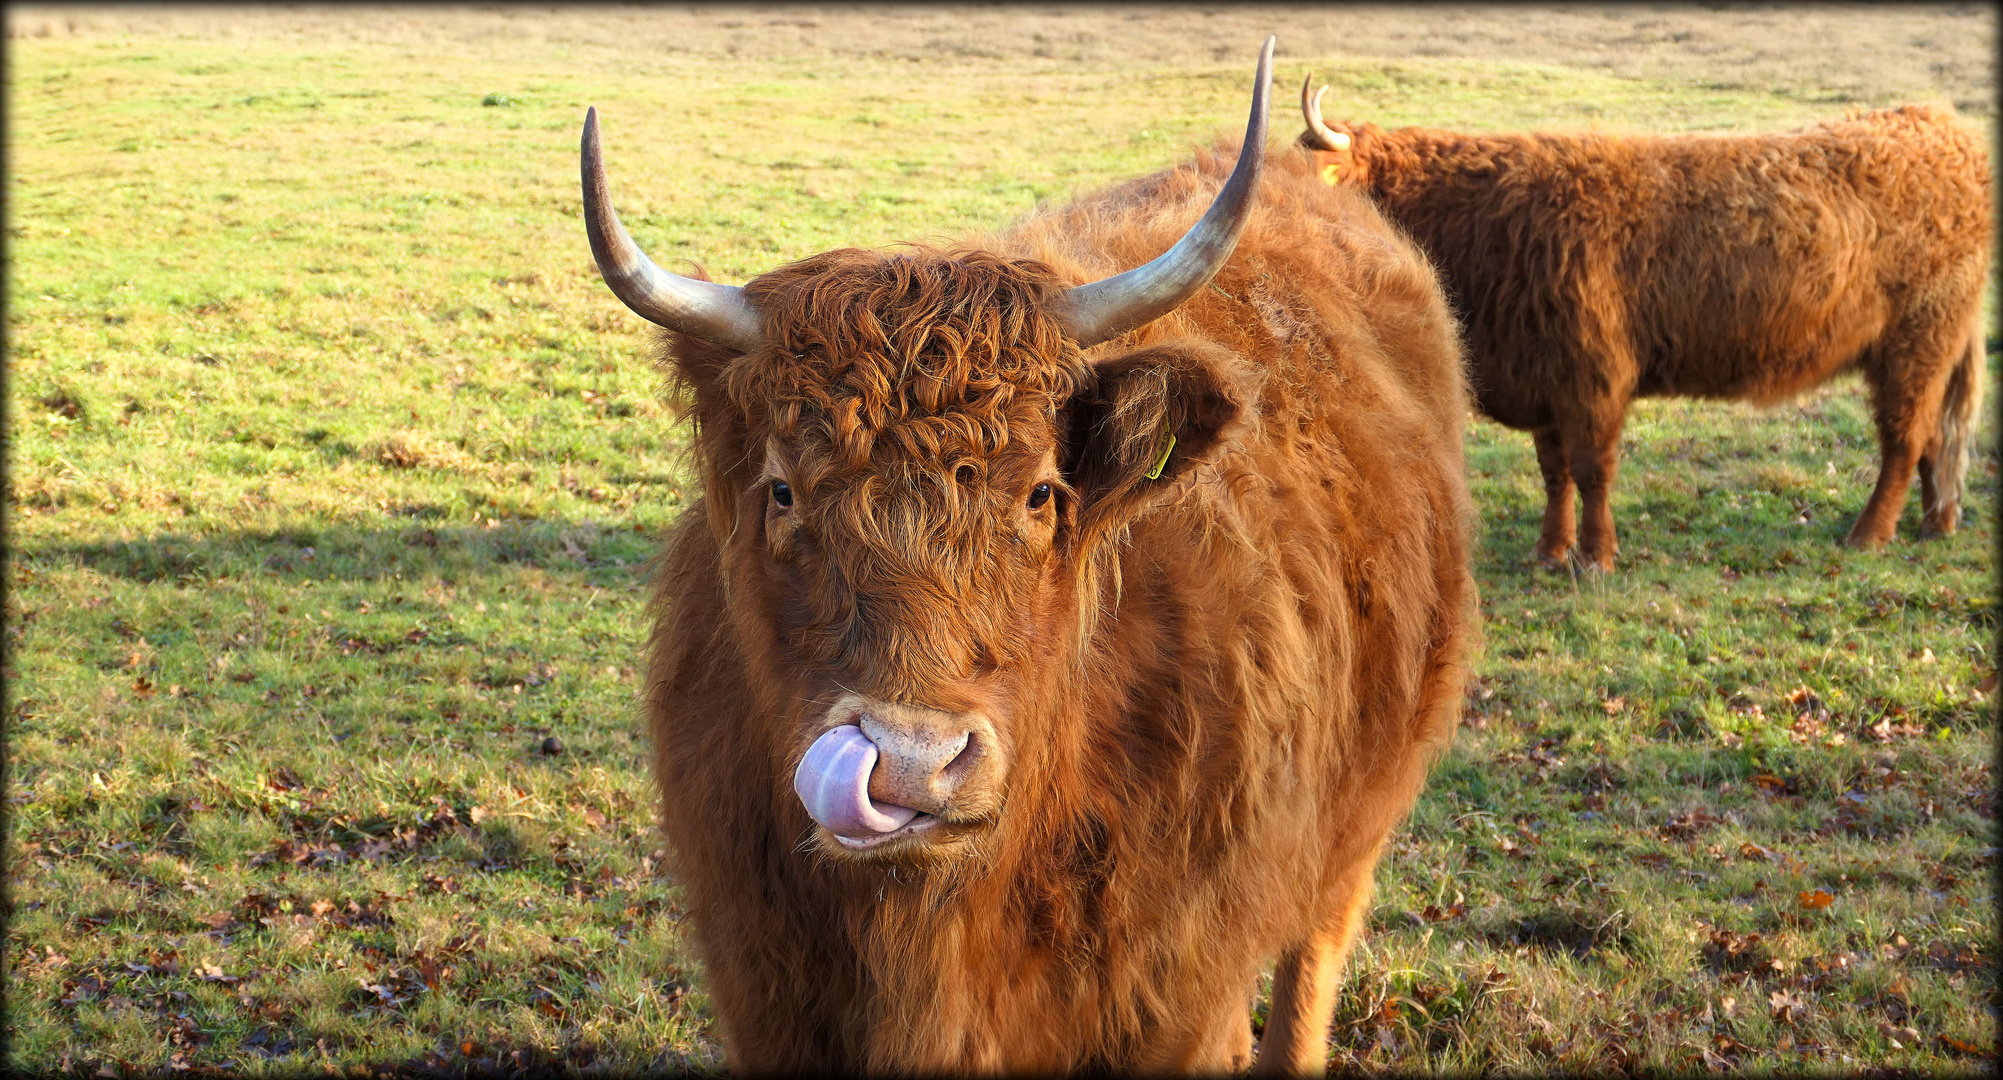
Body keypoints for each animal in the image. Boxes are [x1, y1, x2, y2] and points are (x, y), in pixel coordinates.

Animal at [580, 42, 1474, 1073]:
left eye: (1042, 493)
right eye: (782, 492)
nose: (910, 764)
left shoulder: (1177, 1005)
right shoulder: (767, 996)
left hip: (1355, 828)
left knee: (1312, 958)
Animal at [1297, 82, 1986, 573]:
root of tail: (1941, 125)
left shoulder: (1593, 377)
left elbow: (1591, 469)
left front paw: (1595, 557)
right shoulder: (1544, 376)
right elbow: (1554, 472)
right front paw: (1550, 551)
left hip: (1915, 341)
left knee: (1903, 440)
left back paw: (1869, 535)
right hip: (1930, 349)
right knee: (1932, 437)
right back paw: (1936, 523)